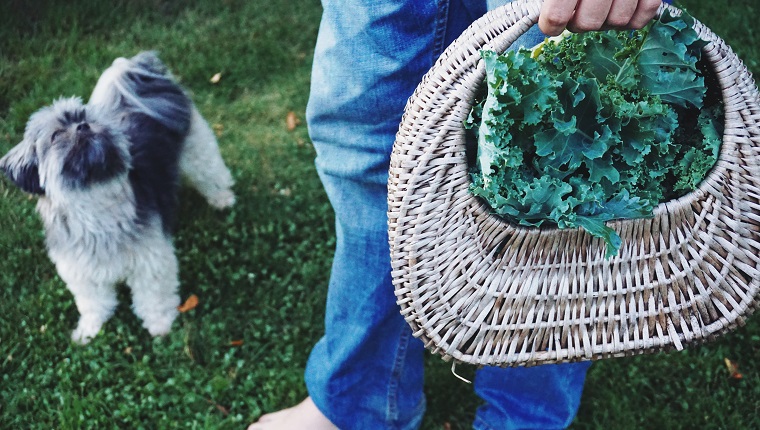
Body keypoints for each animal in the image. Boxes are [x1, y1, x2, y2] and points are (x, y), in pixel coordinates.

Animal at [0, 52, 236, 344]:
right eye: (56, 135)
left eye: (83, 117)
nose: (83, 126)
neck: (95, 201)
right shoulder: (82, 273)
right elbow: (94, 304)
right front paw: (89, 330)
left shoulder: (151, 262)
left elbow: (154, 299)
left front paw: (160, 325)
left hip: (198, 149)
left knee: (212, 173)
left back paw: (223, 200)